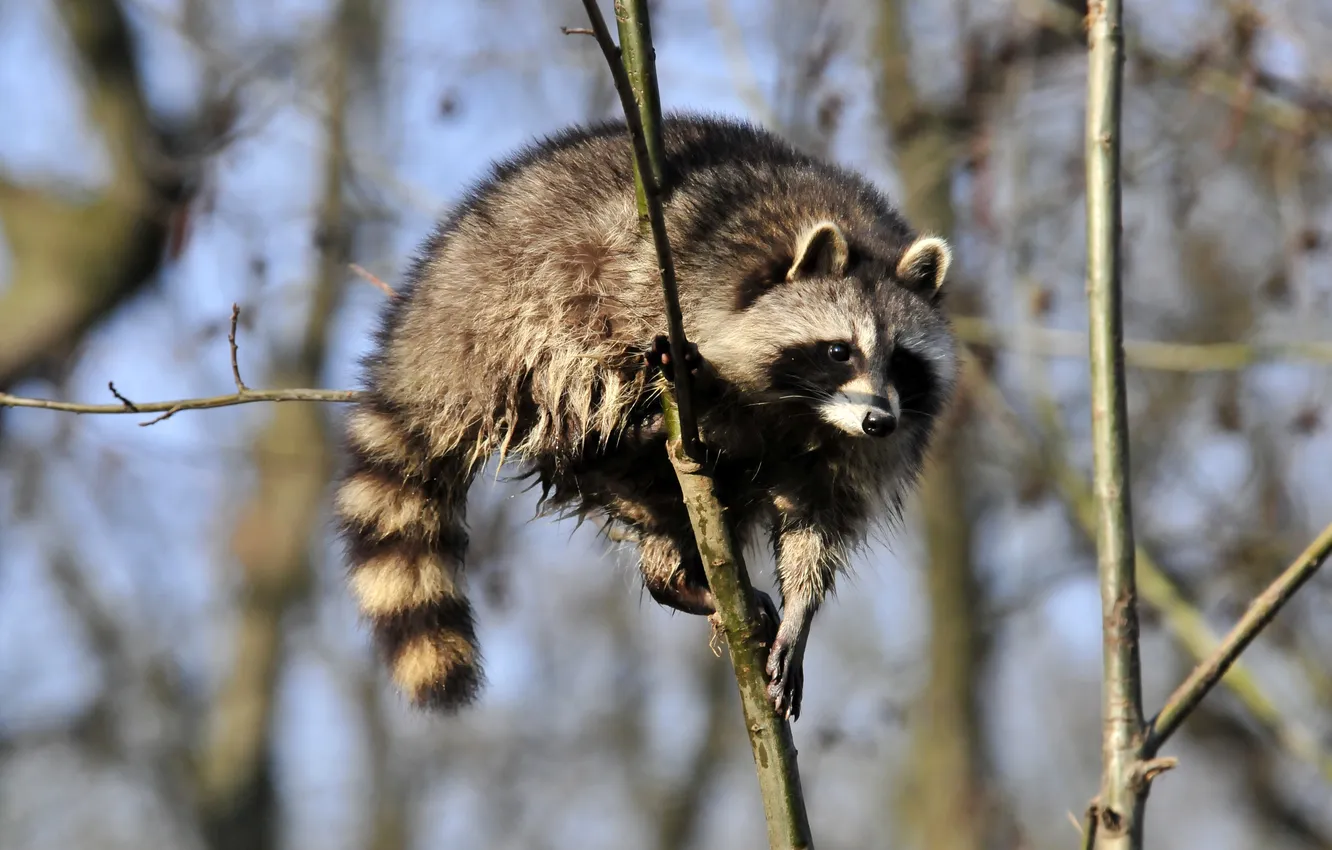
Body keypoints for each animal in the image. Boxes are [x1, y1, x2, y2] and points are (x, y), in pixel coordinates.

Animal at [335, 114, 957, 720]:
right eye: (838, 351)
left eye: (903, 362)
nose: (878, 422)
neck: (804, 409)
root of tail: (429, 312)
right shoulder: (676, 278)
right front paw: (709, 402)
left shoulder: (868, 441)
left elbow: (822, 518)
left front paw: (800, 612)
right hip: (525, 305)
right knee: (585, 392)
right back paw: (623, 439)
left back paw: (673, 576)